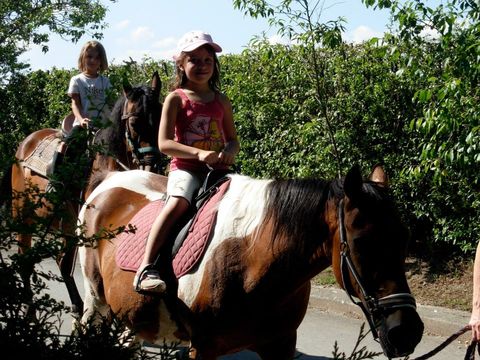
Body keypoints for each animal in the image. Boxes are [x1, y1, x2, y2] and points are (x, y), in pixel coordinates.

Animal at [1, 71, 163, 316]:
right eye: (134, 123)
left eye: (162, 117)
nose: (152, 163)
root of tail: (25, 143)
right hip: (23, 213)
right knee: (26, 258)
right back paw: (30, 308)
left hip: (65, 222)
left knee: (62, 262)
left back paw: (76, 306)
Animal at [77, 165, 422, 358]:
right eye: (362, 242)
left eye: (405, 238)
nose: (407, 331)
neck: (251, 260)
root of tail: (108, 179)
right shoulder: (203, 348)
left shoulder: (280, 346)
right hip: (97, 301)